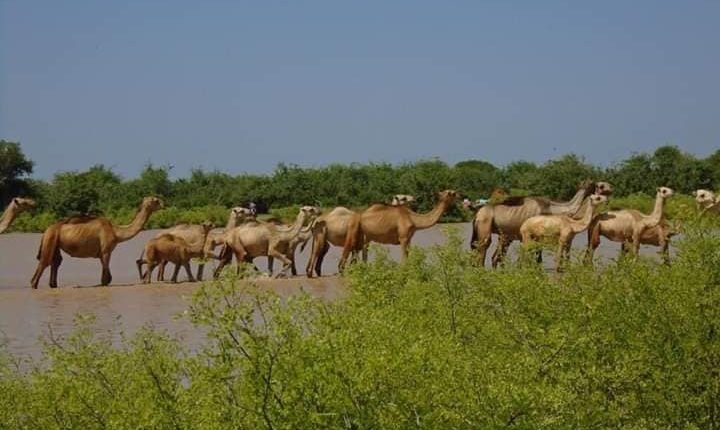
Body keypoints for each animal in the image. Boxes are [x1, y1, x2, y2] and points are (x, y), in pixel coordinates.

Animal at [30, 197, 164, 288]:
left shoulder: (101, 254)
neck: (116, 232)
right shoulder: (106, 251)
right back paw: (34, 284)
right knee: (44, 262)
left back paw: (53, 285)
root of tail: (46, 230)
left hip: (55, 243)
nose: (164, 203)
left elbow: (108, 277)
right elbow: (105, 278)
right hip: (50, 238)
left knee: (55, 261)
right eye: (156, 200)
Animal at [472, 180, 612, 268]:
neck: (551, 208)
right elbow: (535, 258)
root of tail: (477, 214)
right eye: (600, 185)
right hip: (485, 223)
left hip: (503, 234)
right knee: (484, 247)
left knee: (494, 255)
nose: (611, 188)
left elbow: (537, 259)